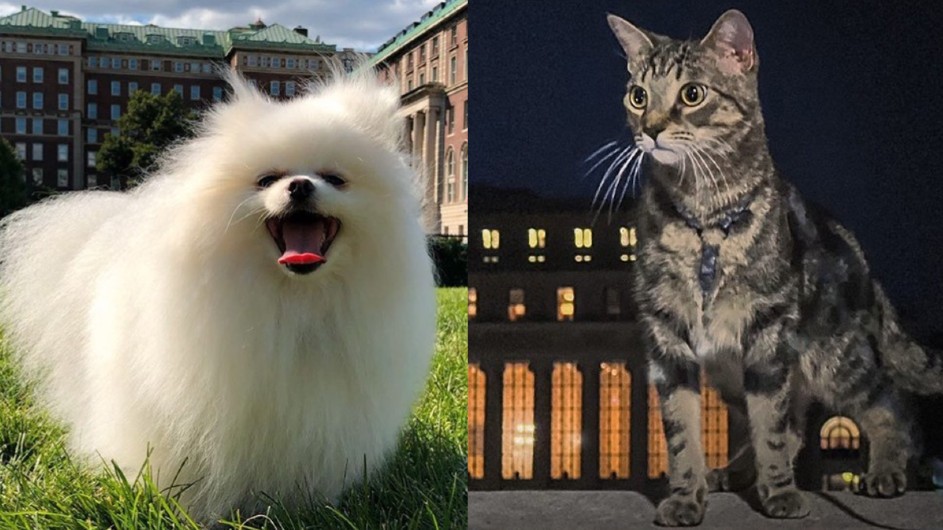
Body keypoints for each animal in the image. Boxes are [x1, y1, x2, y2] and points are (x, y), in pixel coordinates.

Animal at [0, 67, 436, 520]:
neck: (294, 296)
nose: (299, 185)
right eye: (266, 180)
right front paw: (188, 509)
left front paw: (308, 507)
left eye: (335, 178)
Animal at [608, 8, 940, 524]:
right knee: (797, 422)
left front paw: (780, 492)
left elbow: (771, 427)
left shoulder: (766, 334)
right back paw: (731, 473)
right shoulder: (668, 338)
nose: (652, 129)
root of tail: (860, 257)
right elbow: (683, 433)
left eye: (692, 93)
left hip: (832, 357)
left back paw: (885, 469)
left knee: (890, 404)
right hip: (728, 368)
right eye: (638, 96)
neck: (704, 219)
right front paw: (686, 495)